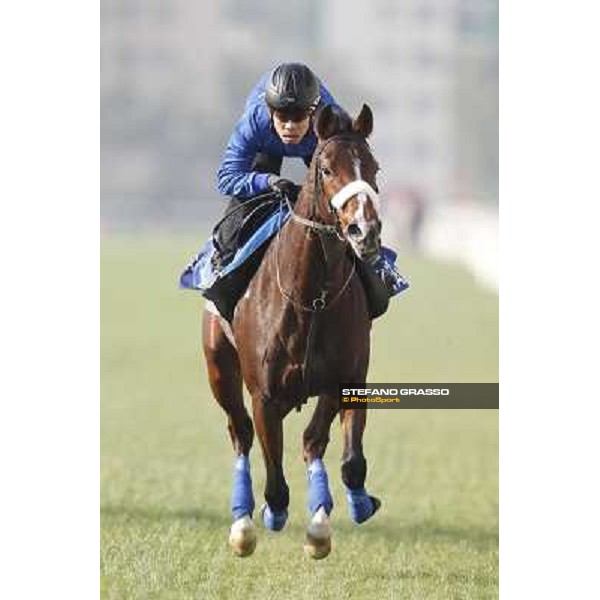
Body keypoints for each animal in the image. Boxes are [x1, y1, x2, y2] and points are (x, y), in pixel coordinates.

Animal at [200, 103, 380, 556]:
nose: (364, 230)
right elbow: (276, 484)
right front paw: (265, 517)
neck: (312, 297)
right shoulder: (264, 395)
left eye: (374, 167)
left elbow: (346, 459)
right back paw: (243, 523)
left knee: (310, 444)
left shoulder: (347, 380)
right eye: (326, 168)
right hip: (219, 369)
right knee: (240, 433)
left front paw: (339, 515)